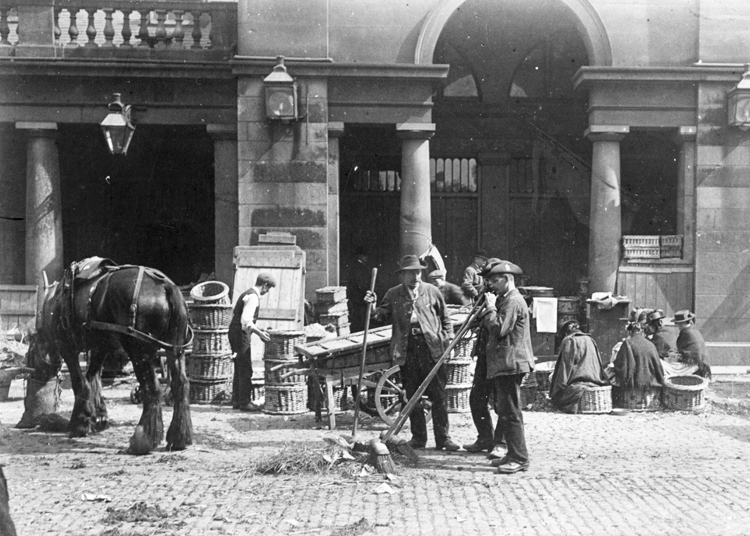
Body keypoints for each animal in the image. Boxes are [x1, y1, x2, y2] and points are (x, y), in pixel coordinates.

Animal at [19, 260, 194, 452]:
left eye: (30, 356)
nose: (32, 376)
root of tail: (166, 285)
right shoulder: (99, 349)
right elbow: (93, 380)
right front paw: (98, 416)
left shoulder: (67, 348)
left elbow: (80, 384)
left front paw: (79, 423)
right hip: (175, 350)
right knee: (181, 385)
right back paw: (179, 438)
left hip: (139, 353)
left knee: (152, 389)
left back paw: (142, 440)